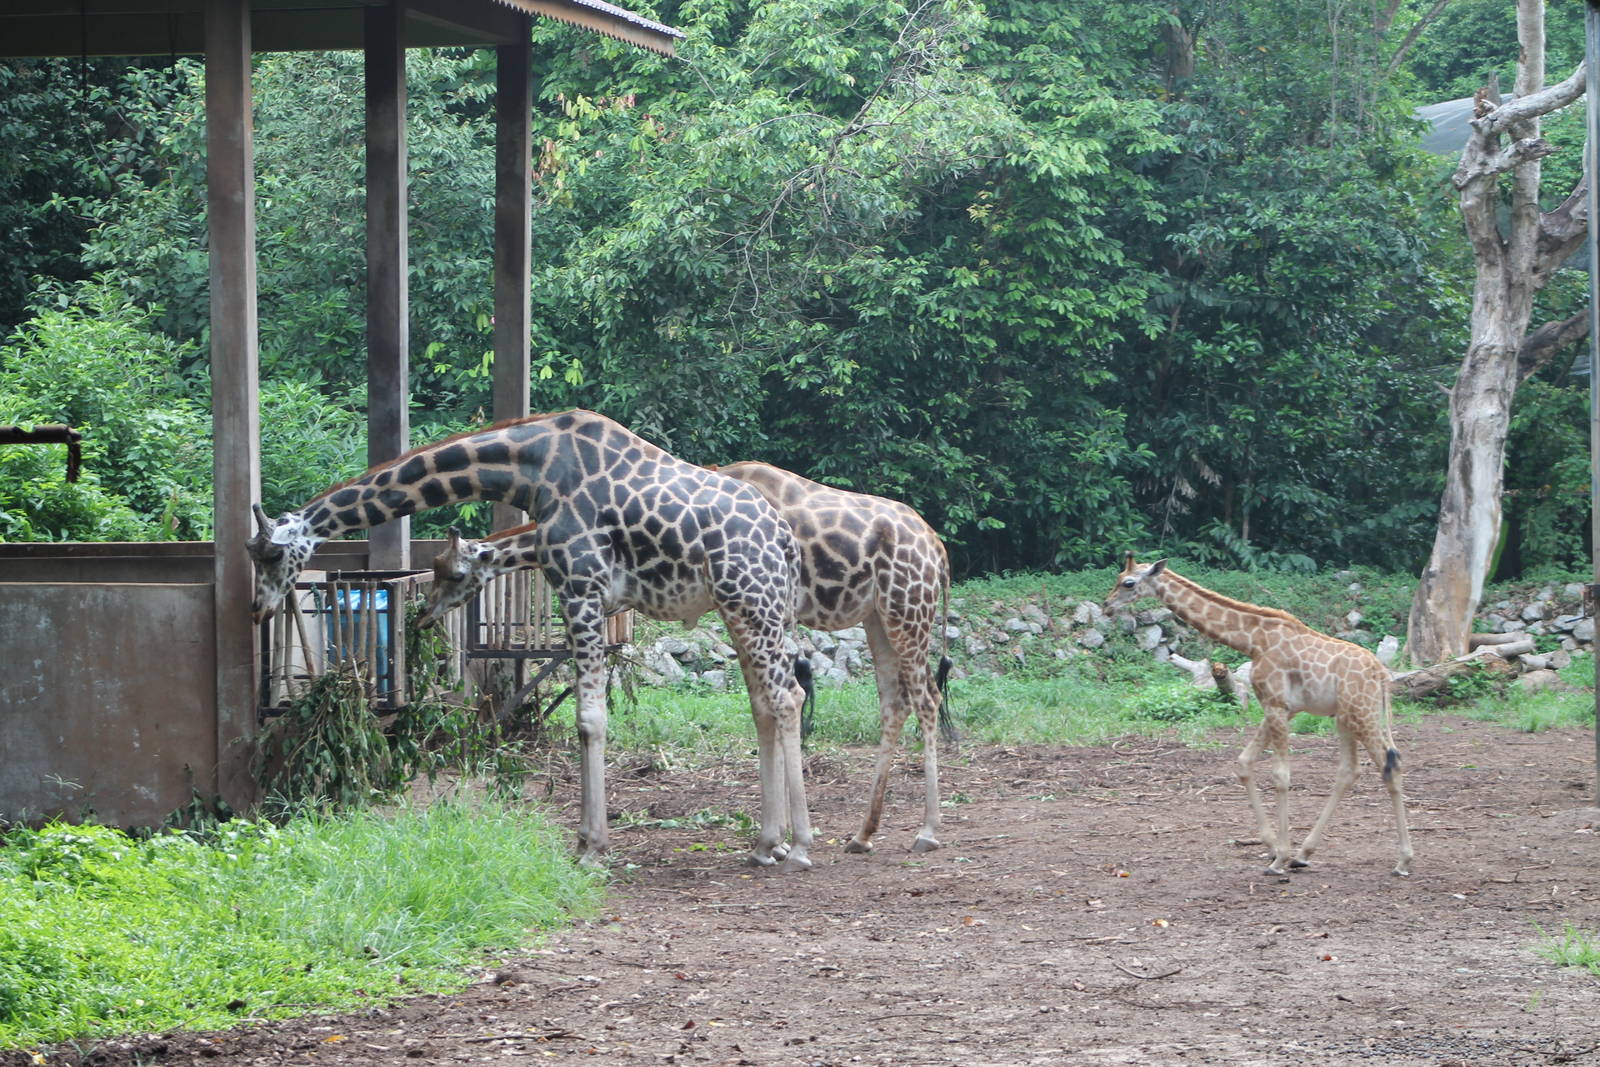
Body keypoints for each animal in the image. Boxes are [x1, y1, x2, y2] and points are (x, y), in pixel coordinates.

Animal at [246, 409, 814, 871]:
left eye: (269, 555)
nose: (258, 609)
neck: (534, 471)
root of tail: (784, 539)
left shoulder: (581, 589)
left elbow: (589, 719)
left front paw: (591, 848)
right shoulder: (585, 596)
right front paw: (587, 841)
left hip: (751, 602)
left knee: (785, 698)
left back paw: (801, 847)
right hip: (749, 610)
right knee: (768, 701)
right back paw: (767, 844)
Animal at [1104, 555, 1413, 877]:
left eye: (1128, 583)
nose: (1106, 605)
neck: (1252, 639)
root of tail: (1382, 676)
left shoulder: (1276, 704)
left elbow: (1280, 775)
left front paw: (1279, 859)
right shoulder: (1281, 707)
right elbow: (1243, 763)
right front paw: (1273, 848)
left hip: (1362, 713)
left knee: (1391, 765)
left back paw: (1403, 861)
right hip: (1345, 716)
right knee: (1350, 770)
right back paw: (1304, 854)